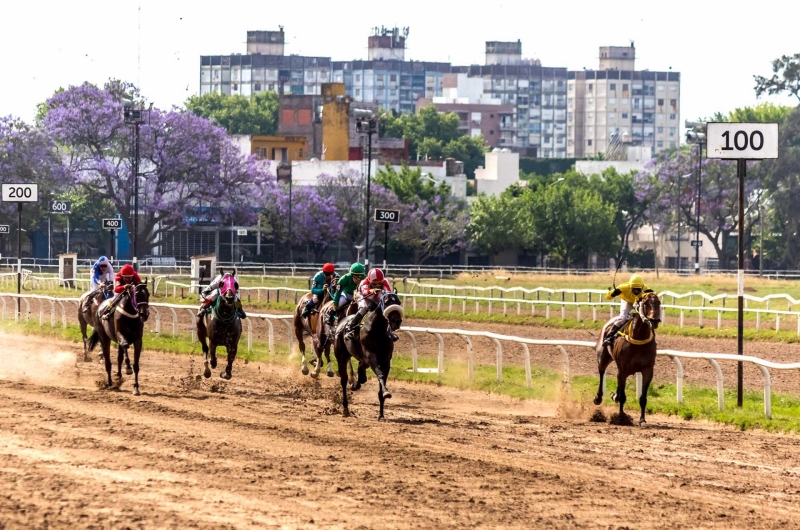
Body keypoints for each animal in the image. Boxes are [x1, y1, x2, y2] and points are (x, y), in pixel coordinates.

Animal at [332, 290, 404, 418]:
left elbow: (382, 381)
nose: (396, 321)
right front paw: (386, 393)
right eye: (387, 302)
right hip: (341, 357)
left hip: (362, 360)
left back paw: (357, 384)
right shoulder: (371, 357)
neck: (378, 331)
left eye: (398, 302)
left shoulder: (385, 361)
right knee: (344, 380)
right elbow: (380, 374)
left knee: (361, 371)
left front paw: (381, 414)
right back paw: (346, 408)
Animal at [592, 290, 664, 422]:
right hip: (603, 357)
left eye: (658, 302)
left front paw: (642, 420)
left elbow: (642, 398)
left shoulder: (648, 370)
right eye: (645, 303)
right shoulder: (623, 370)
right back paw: (598, 398)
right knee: (602, 372)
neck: (638, 337)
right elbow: (622, 397)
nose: (654, 320)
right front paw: (621, 417)